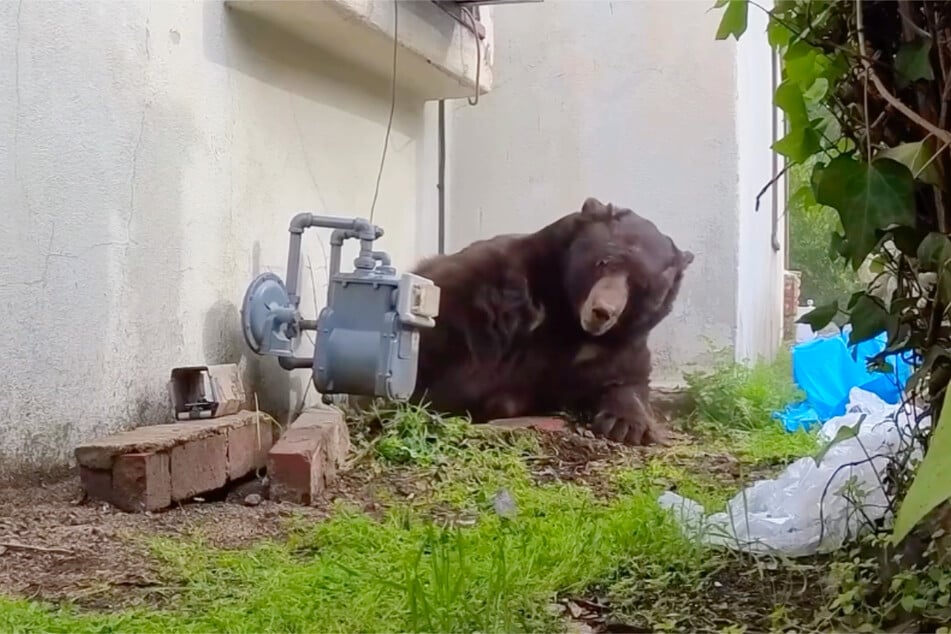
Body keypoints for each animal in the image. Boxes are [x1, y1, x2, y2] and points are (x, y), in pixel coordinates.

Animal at [409, 196, 694, 446]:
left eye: (641, 284)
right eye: (603, 261)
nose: (602, 311)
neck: (566, 316)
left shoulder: (614, 345)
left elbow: (626, 377)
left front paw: (626, 425)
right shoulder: (492, 286)